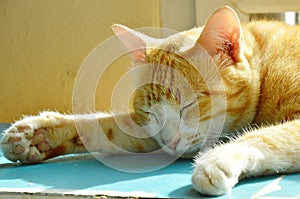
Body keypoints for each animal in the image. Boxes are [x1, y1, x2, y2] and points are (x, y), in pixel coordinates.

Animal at [0, 6, 300, 196]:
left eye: (189, 105)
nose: (170, 142)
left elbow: (268, 136)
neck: (264, 65)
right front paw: (40, 135)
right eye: (149, 112)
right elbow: (106, 127)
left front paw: (217, 159)